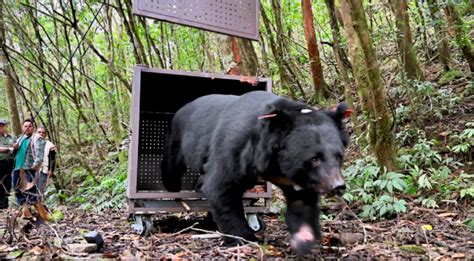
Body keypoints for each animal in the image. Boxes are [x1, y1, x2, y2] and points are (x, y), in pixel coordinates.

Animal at [161, 90, 350, 255]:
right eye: (314, 159)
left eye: (339, 156)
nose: (338, 186)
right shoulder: (235, 148)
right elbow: (221, 187)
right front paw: (243, 238)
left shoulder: (299, 178)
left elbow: (301, 202)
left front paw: (304, 238)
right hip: (177, 139)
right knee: (172, 165)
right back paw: (172, 188)